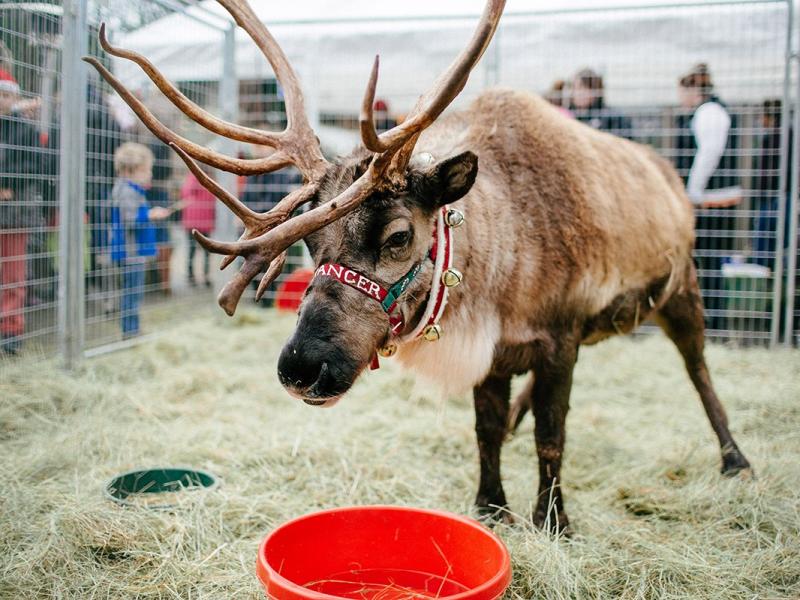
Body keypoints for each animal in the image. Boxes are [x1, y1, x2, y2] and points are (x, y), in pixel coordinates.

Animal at [86, 0, 752, 533]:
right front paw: (491, 508)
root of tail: (668, 174)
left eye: (400, 236)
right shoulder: (496, 351)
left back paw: (734, 459)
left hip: (682, 290)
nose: (301, 366)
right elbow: (486, 431)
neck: (504, 270)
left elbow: (553, 436)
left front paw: (553, 521)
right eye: (310, 244)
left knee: (699, 370)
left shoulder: (560, 339)